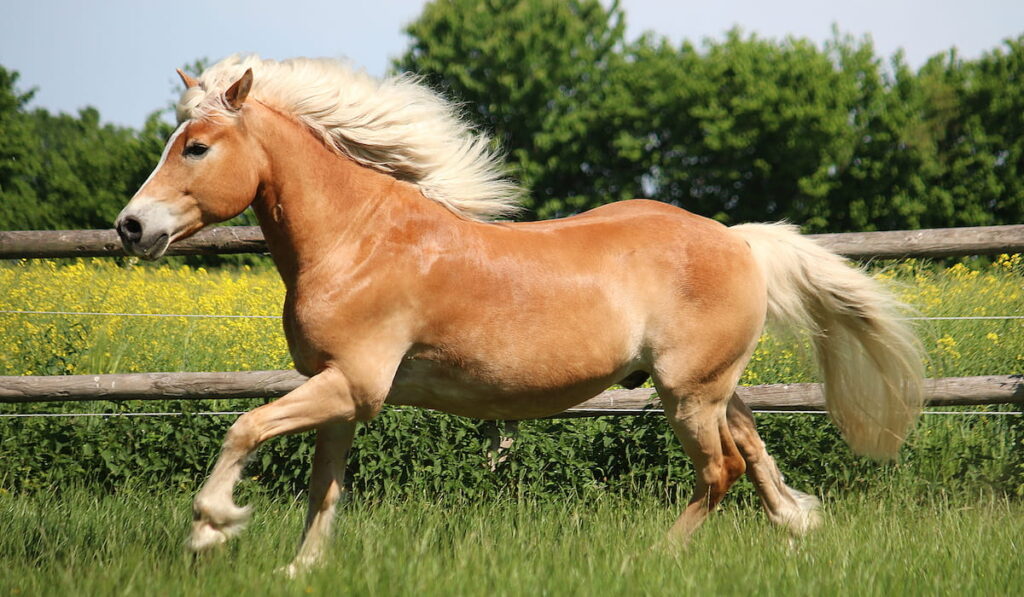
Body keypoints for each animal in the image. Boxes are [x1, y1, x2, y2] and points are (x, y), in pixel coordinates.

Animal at [116, 54, 925, 573]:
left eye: (196, 147)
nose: (130, 227)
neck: (356, 240)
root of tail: (739, 240)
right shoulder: (338, 394)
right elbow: (324, 488)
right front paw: (299, 569)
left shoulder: (355, 385)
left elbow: (244, 426)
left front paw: (211, 528)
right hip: (710, 387)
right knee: (754, 450)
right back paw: (798, 526)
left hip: (687, 395)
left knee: (718, 472)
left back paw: (650, 558)